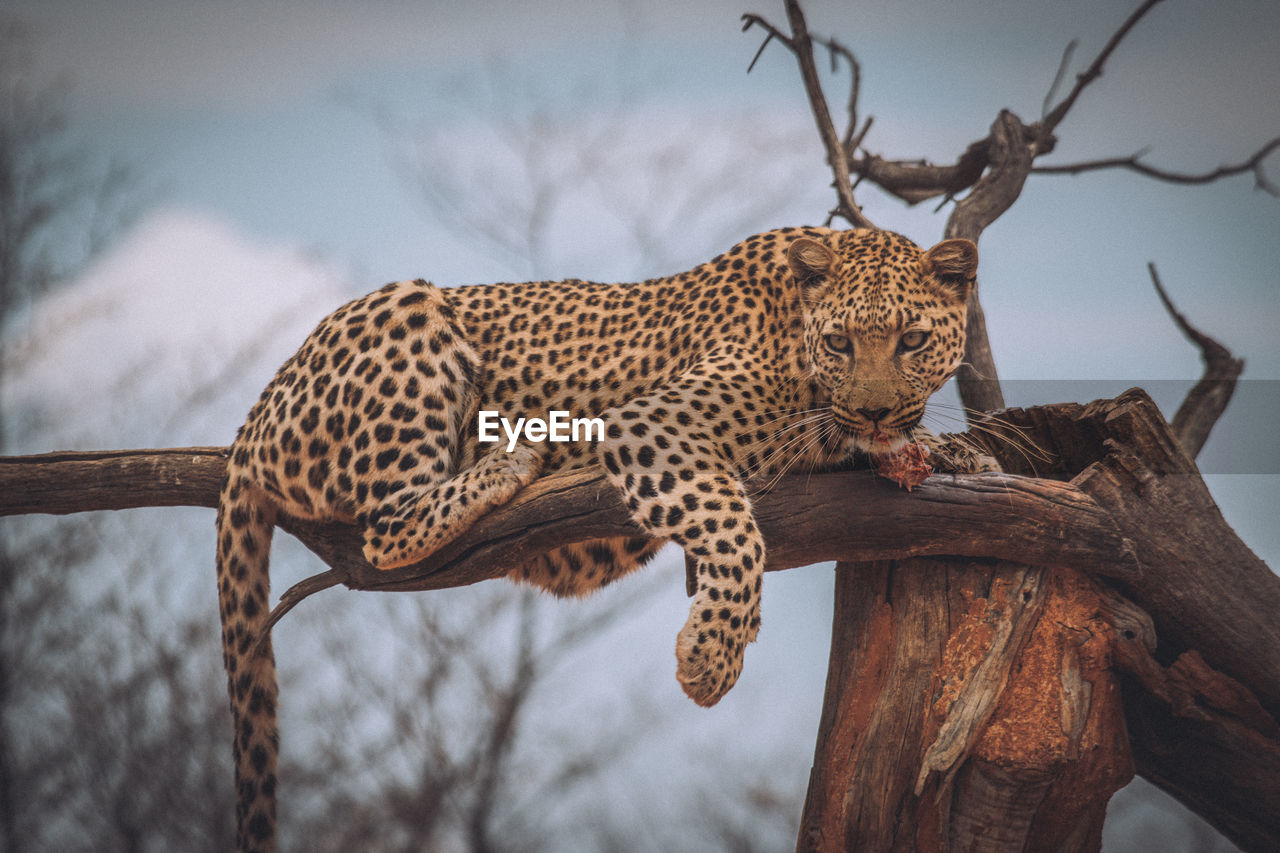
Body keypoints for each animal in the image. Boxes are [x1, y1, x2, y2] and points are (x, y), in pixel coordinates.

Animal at [217, 222, 977, 845]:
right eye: (841, 342)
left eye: (912, 340)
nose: (874, 411)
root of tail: (253, 418)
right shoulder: (649, 427)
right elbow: (735, 529)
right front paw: (712, 655)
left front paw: (950, 451)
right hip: (410, 309)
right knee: (386, 524)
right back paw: (508, 460)